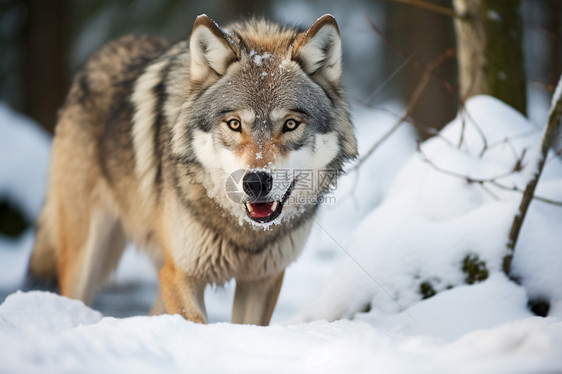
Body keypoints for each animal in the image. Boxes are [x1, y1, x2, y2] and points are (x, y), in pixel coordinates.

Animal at [26, 13, 354, 324]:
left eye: (290, 124)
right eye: (234, 124)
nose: (256, 183)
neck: (244, 232)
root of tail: (97, 55)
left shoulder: (262, 279)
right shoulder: (180, 273)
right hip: (87, 258)